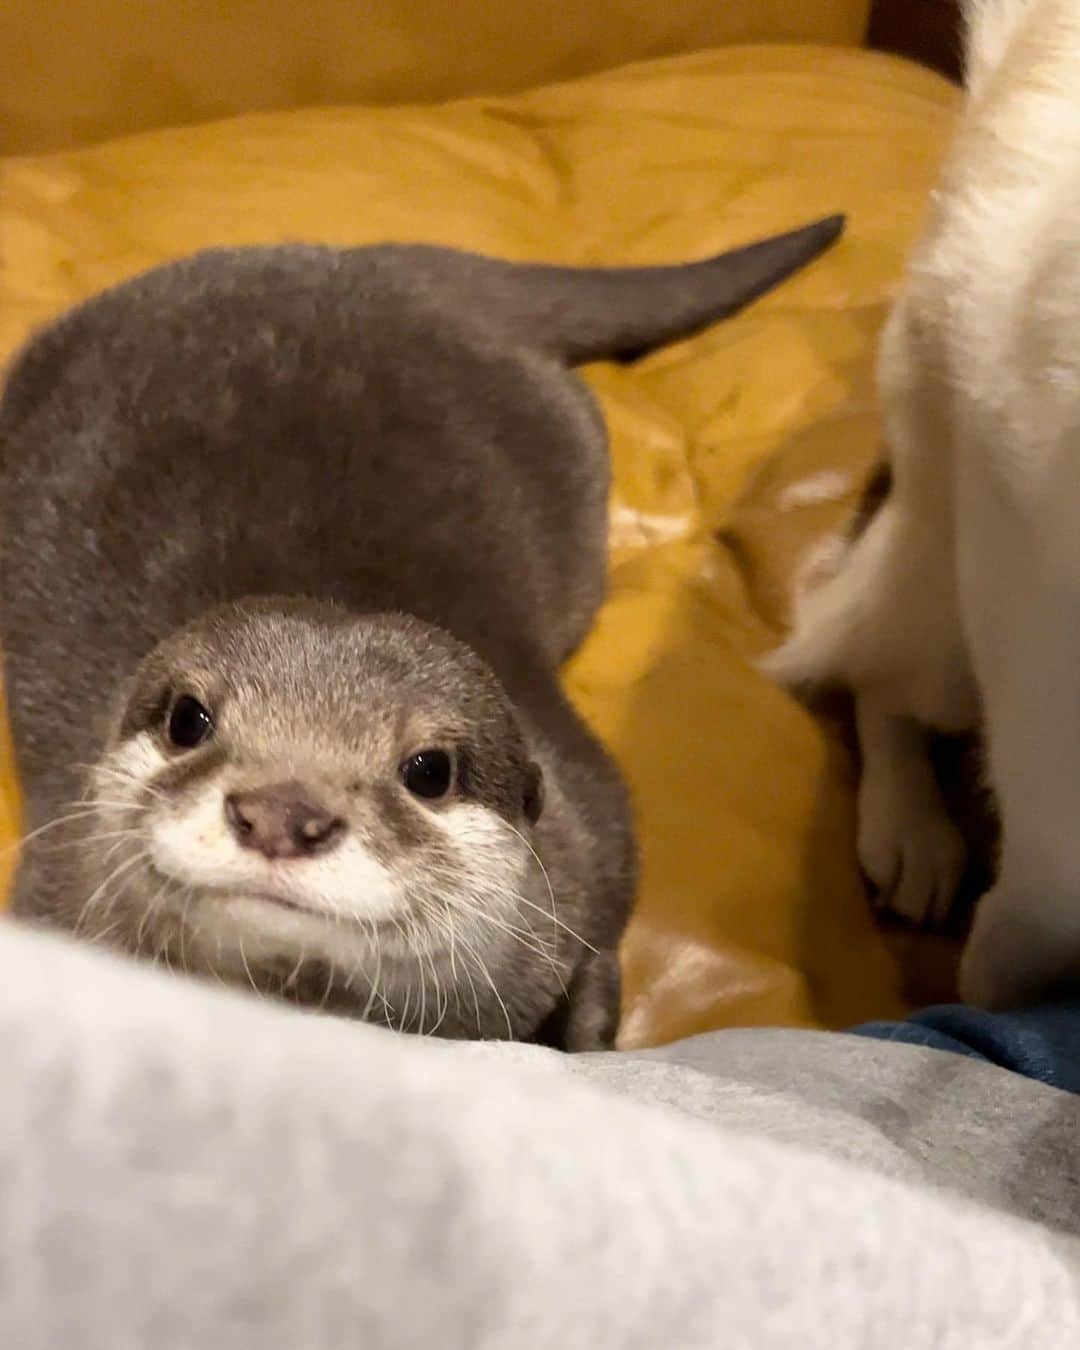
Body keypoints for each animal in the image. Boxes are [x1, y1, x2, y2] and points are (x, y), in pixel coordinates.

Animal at [0, 221, 842, 1047]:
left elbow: (600, 959)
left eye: (429, 771)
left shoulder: (594, 835)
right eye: (188, 720)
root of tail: (370, 265)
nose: (281, 814)